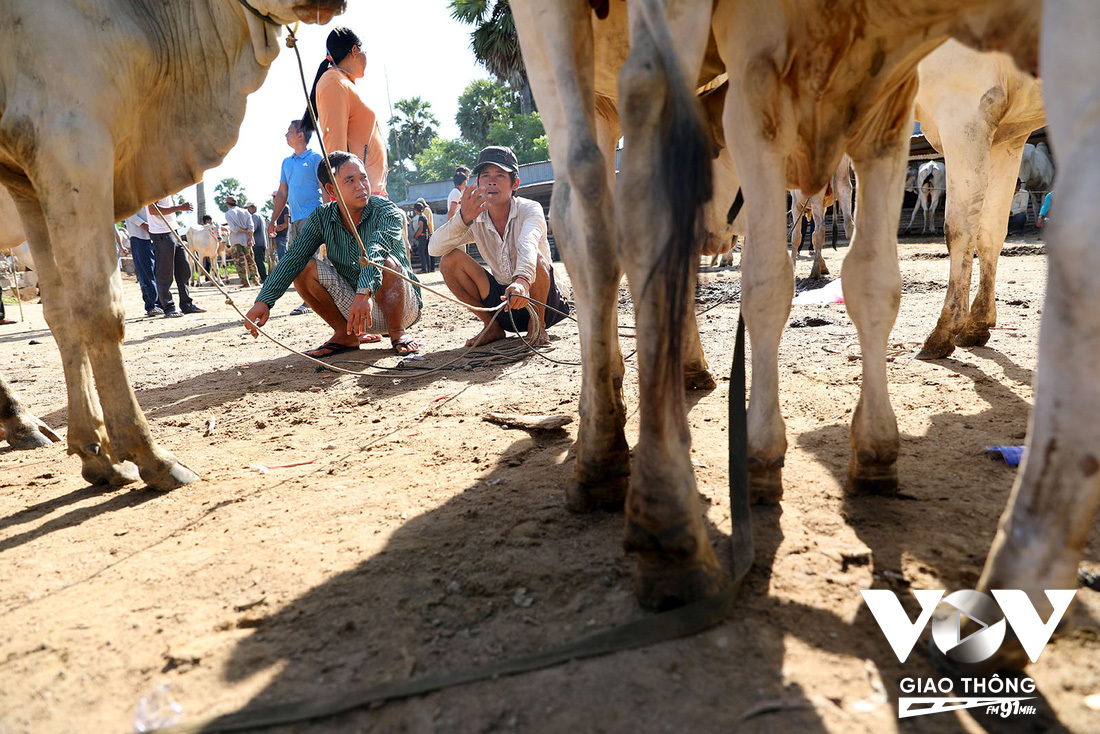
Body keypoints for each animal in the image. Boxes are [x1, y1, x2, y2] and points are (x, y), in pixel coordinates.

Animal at [0, 1, 343, 493]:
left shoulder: (25, 178)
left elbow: (62, 316)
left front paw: (94, 452)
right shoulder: (68, 140)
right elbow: (98, 311)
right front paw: (145, 453)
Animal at [915, 40, 1042, 360]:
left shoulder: (963, 111)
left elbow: (959, 229)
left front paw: (945, 329)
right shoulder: (1010, 135)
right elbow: (990, 232)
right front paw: (978, 322)